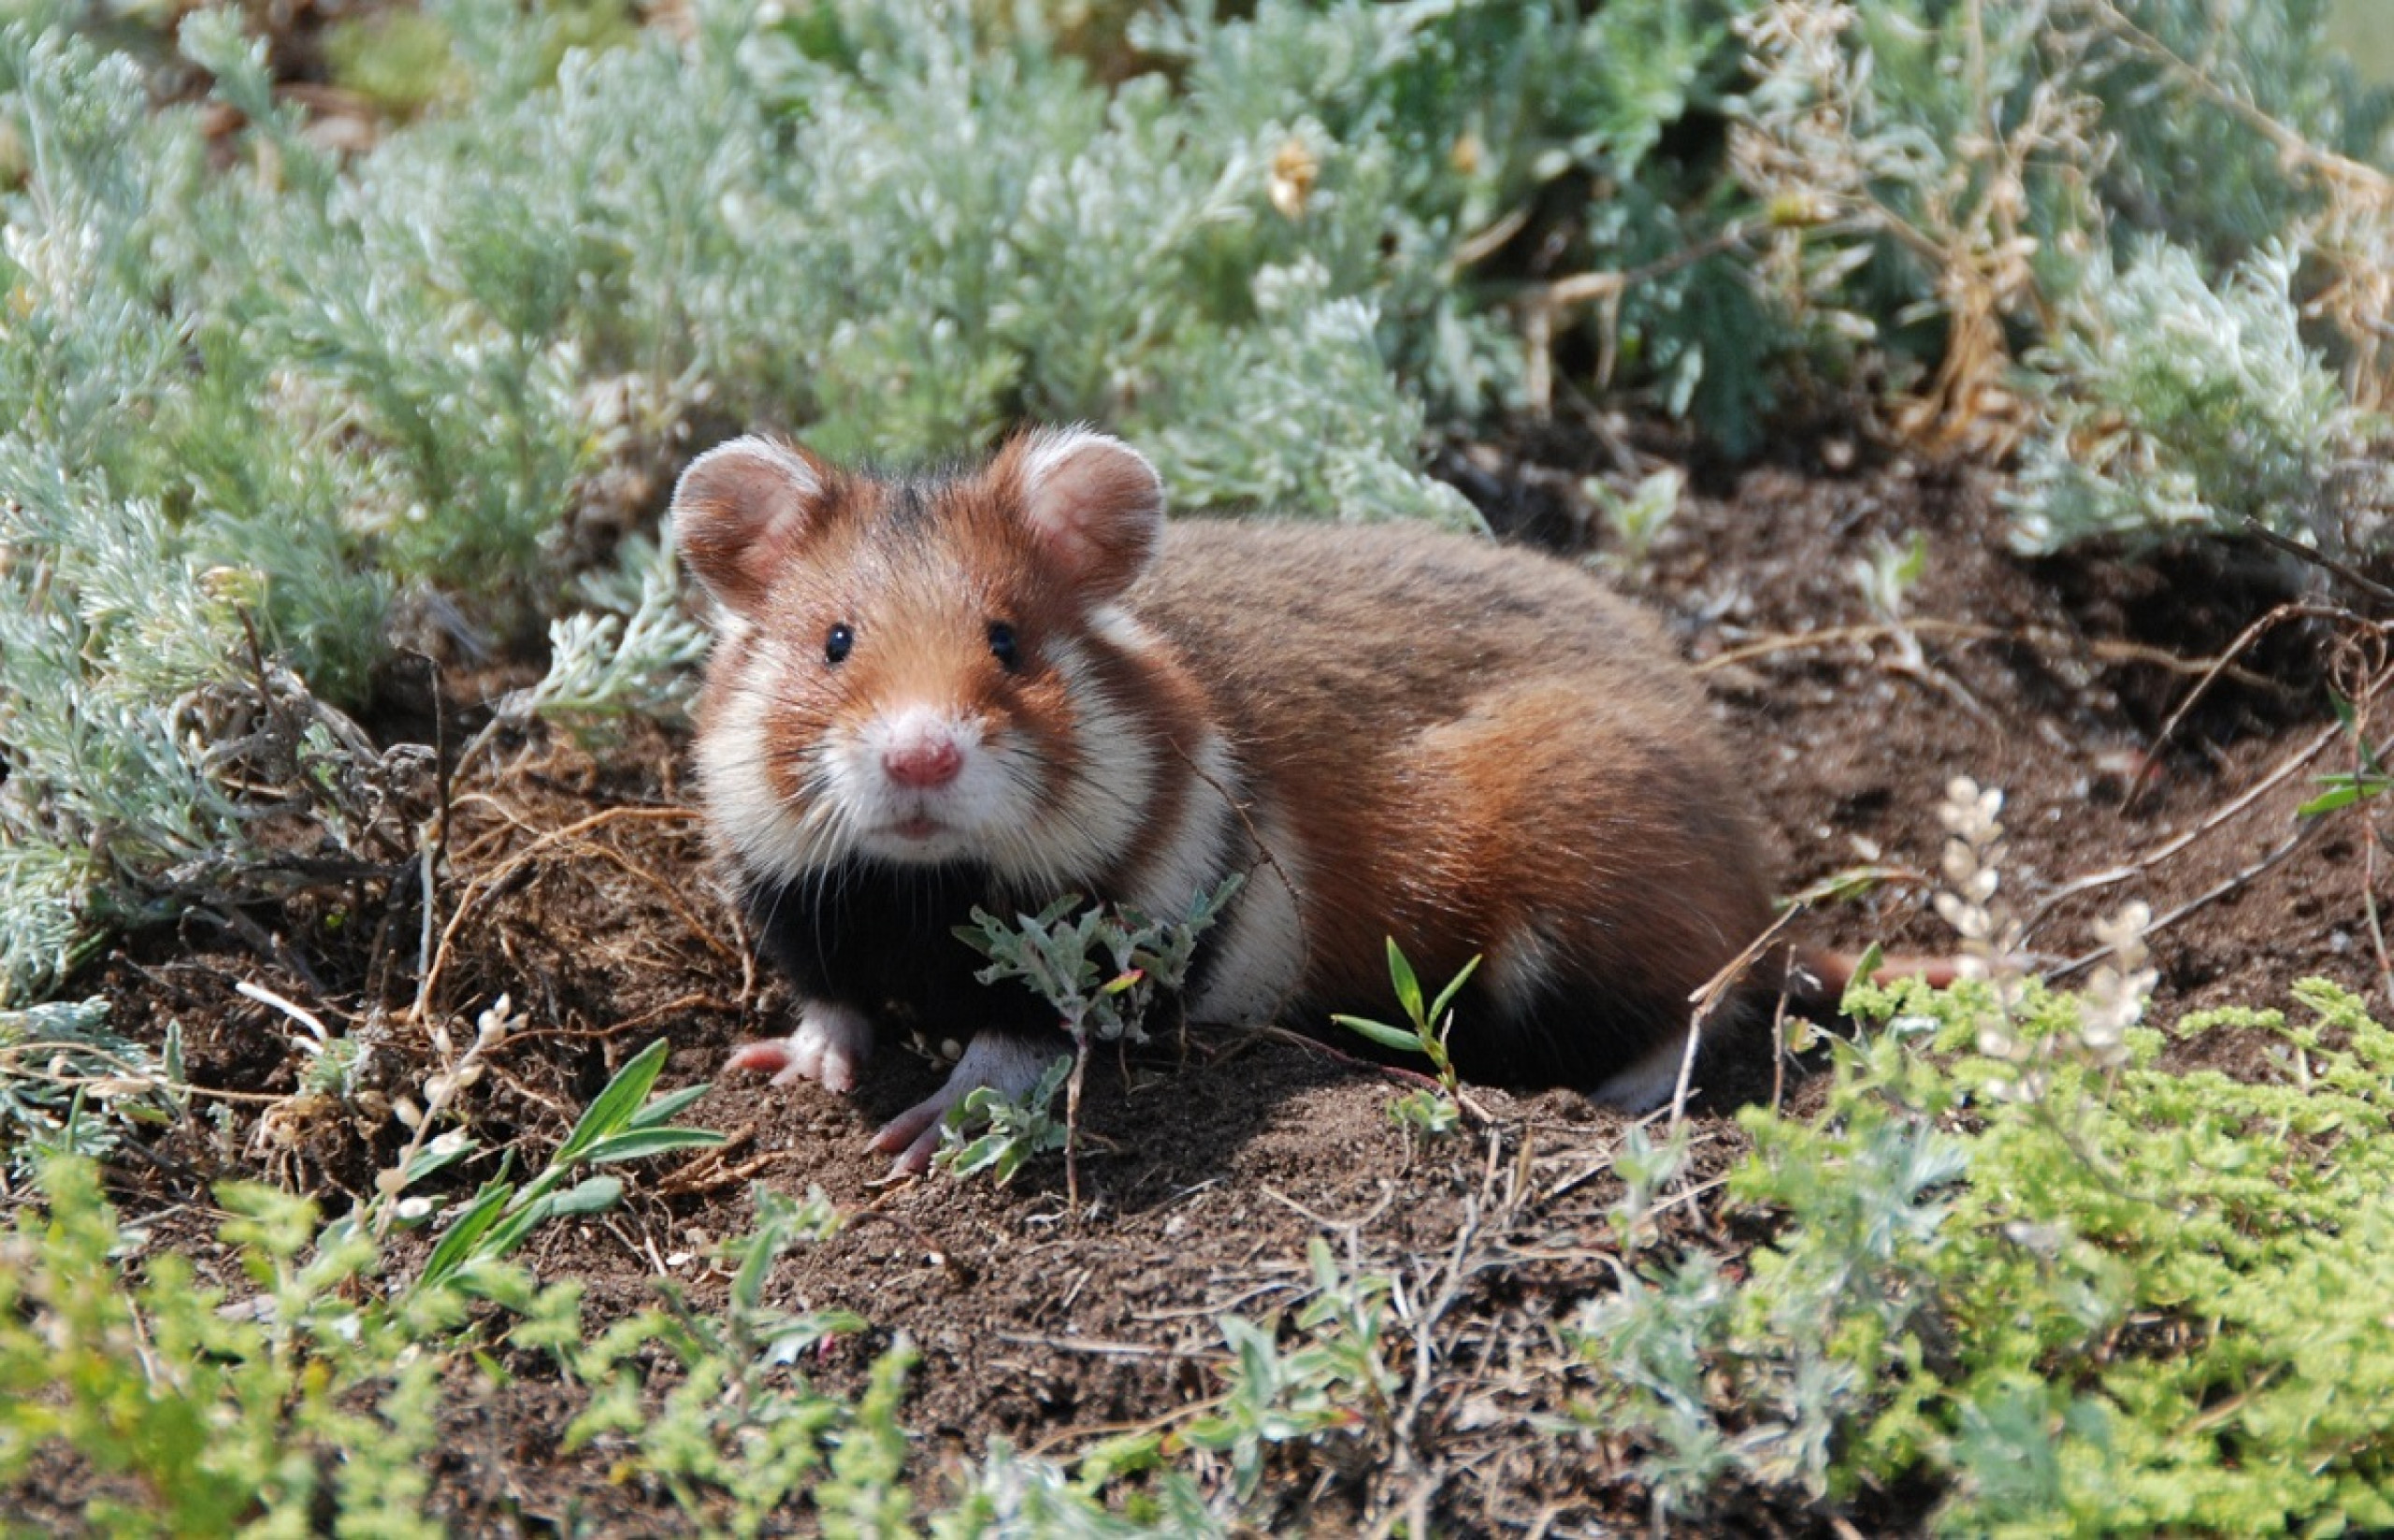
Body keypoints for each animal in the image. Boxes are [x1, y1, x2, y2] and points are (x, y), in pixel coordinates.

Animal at [670, 428, 1781, 1173]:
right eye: (835, 642)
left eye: (1009, 641)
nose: (921, 758)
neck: (916, 884)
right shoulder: (794, 894)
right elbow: (832, 1001)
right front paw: (784, 1066)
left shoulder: (1131, 930)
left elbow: (1016, 1042)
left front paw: (927, 1130)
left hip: (1577, 874)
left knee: (1705, 998)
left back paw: (1623, 1101)